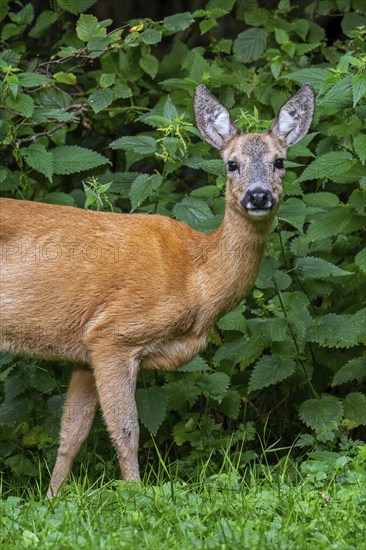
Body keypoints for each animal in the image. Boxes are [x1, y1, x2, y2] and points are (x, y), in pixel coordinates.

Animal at [0, 83, 314, 500]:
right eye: (231, 164)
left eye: (280, 161)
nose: (259, 196)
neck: (196, 278)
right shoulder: (113, 334)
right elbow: (126, 429)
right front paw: (136, 495)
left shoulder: (84, 351)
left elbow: (71, 433)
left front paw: (51, 500)